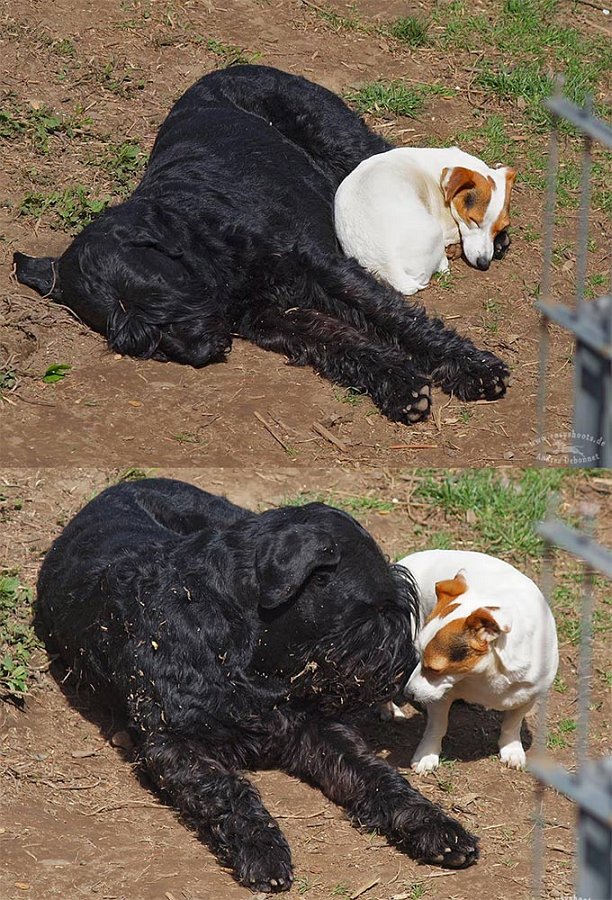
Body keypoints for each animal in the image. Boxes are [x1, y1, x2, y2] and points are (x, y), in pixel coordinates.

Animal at [35, 478, 480, 892]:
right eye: (379, 609)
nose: (405, 669)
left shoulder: (313, 726)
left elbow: (375, 773)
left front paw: (435, 826)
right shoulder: (174, 743)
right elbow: (227, 789)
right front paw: (263, 849)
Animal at [334, 147, 516, 296]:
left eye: (502, 227)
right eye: (473, 220)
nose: (484, 264)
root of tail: (388, 266)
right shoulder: (449, 227)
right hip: (435, 230)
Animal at [390, 548, 556, 772]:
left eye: (435, 669)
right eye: (422, 658)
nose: (409, 693)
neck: (483, 673)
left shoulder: (528, 696)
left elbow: (512, 724)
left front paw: (511, 748)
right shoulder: (442, 695)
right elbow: (437, 726)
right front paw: (427, 755)